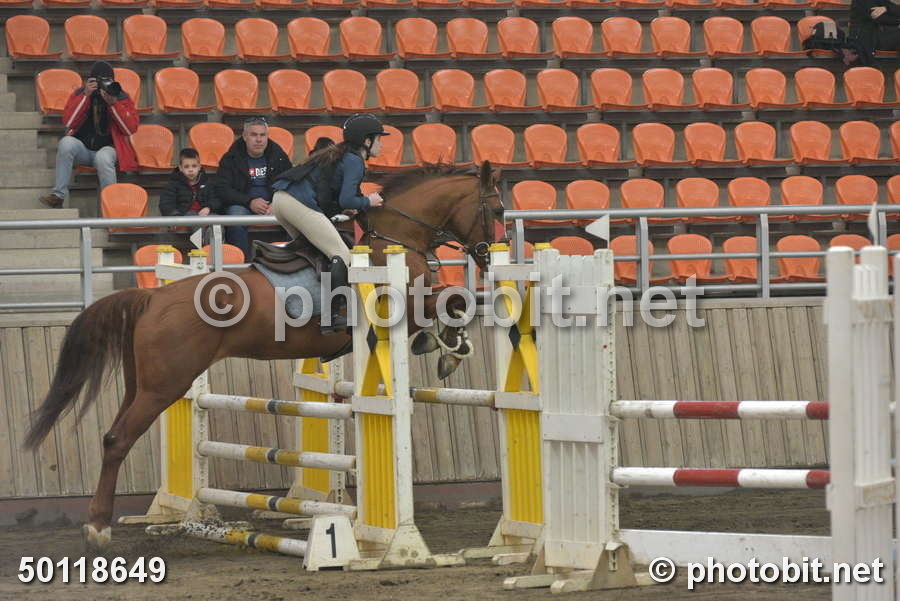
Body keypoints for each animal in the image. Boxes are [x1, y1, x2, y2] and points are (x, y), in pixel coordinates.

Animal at [23, 161, 504, 551]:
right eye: (498, 211)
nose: (488, 258)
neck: (394, 240)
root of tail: (152, 297)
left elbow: (449, 303)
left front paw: (442, 345)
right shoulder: (402, 303)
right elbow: (455, 299)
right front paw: (451, 348)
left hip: (142, 383)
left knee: (114, 435)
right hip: (165, 385)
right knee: (117, 439)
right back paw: (98, 528)